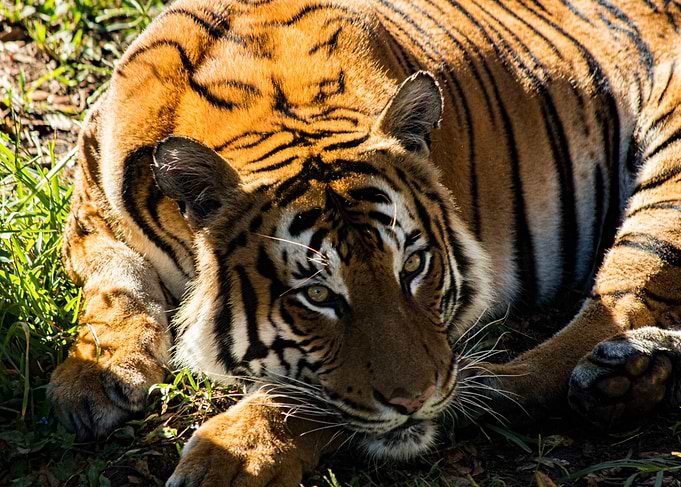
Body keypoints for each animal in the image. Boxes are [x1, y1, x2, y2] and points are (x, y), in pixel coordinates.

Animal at [48, 0, 681, 484]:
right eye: (317, 295)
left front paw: (232, 458)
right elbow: (116, 286)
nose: (418, 400)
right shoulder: (90, 209)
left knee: (619, 305)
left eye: (415, 266)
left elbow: (303, 392)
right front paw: (92, 377)